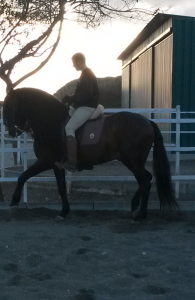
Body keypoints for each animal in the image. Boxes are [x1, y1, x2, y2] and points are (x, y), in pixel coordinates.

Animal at [3, 88, 178, 219]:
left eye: (9, 105)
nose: (10, 130)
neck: (50, 122)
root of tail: (147, 122)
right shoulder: (56, 164)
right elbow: (61, 187)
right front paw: (64, 212)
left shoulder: (46, 161)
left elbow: (22, 176)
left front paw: (13, 203)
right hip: (132, 161)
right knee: (146, 179)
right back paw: (134, 206)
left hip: (133, 161)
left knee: (145, 182)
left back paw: (141, 214)